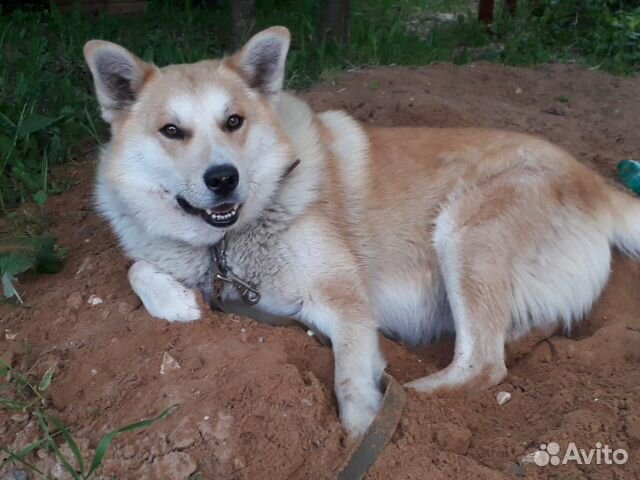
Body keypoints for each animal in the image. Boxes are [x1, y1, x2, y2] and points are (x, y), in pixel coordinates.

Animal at [85, 28, 640, 436]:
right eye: (171, 131)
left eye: (234, 121)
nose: (223, 178)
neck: (229, 242)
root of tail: (595, 179)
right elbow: (137, 267)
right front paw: (177, 303)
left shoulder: (345, 300)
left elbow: (351, 378)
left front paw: (362, 427)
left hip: (462, 230)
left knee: (483, 365)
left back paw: (411, 401)